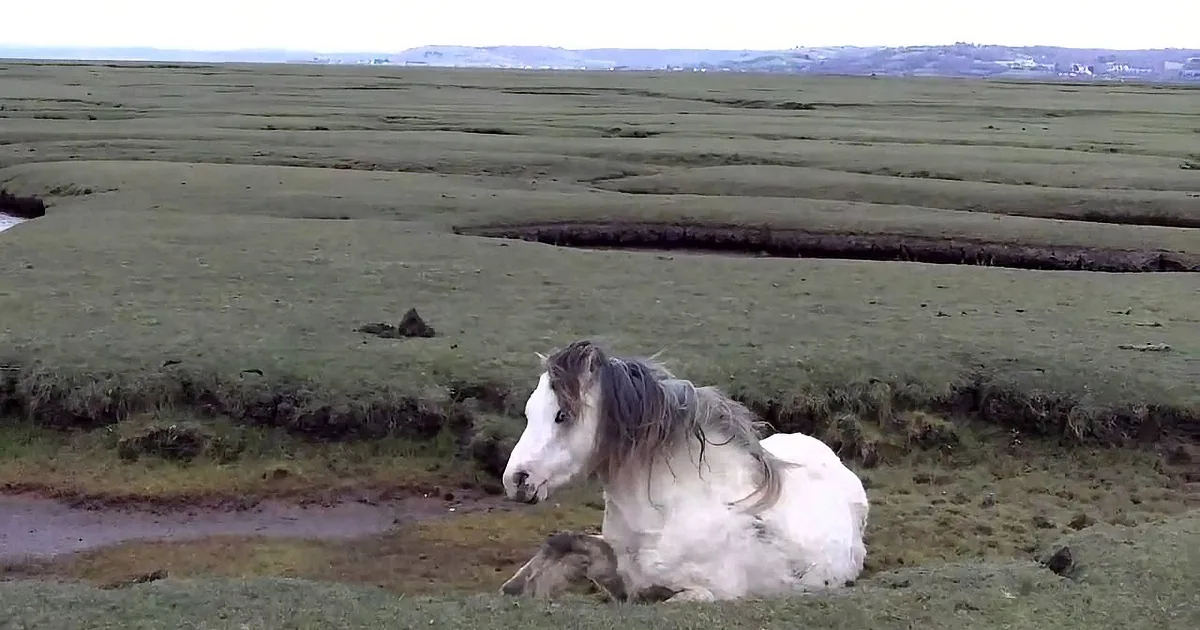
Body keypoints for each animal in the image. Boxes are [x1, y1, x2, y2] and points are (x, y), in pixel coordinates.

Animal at [501, 339, 870, 603]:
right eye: (529, 412)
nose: (515, 480)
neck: (666, 512)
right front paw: (516, 587)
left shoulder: (704, 593)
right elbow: (562, 541)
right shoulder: (622, 576)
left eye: (562, 415)